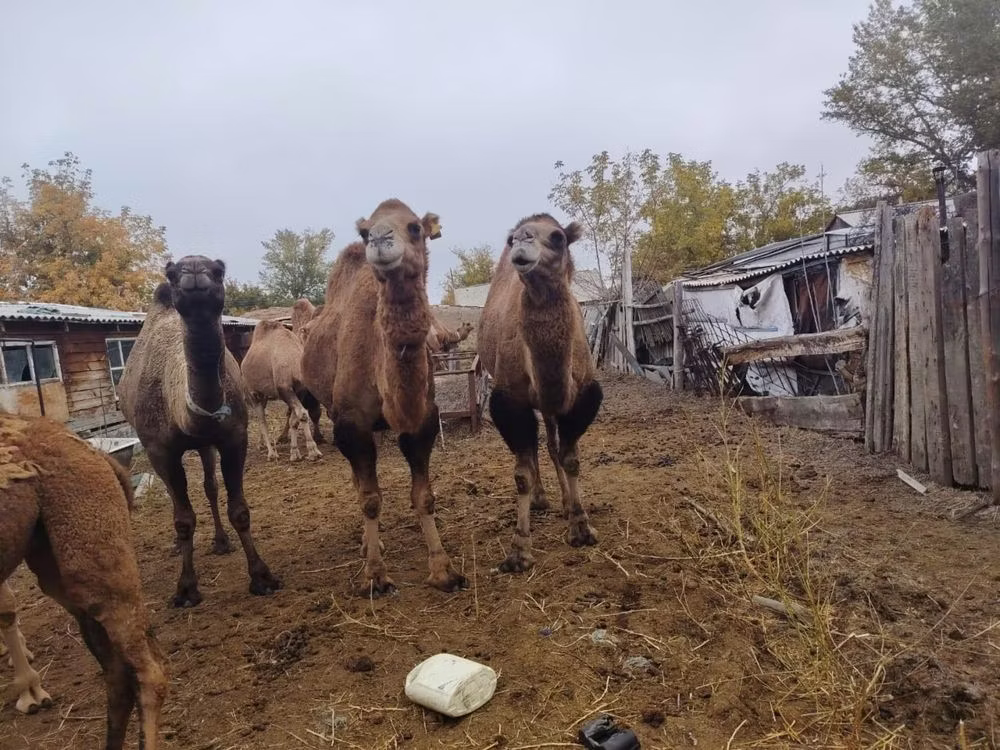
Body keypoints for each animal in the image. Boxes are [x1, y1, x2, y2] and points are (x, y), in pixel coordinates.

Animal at [119, 256, 282, 607]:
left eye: (219, 270)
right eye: (171, 273)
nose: (194, 267)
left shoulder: (234, 438)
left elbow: (239, 510)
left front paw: (262, 577)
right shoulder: (159, 450)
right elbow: (183, 519)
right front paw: (186, 589)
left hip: (205, 445)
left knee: (209, 486)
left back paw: (220, 541)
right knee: (179, 501)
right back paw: (178, 545)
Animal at [241, 319, 323, 462]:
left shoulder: (299, 391)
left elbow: (294, 420)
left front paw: (295, 453)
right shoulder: (284, 388)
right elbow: (302, 414)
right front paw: (313, 451)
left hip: (264, 396)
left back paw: (261, 445)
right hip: (252, 394)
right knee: (262, 420)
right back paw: (271, 454)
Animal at [301, 199, 467, 595]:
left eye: (415, 227)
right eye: (365, 232)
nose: (379, 239)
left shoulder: (422, 421)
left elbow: (424, 496)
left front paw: (443, 570)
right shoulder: (351, 424)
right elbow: (371, 499)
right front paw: (374, 575)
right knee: (359, 485)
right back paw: (366, 545)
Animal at [477, 213, 603, 573]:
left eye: (558, 237)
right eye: (512, 240)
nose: (522, 242)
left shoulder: (583, 397)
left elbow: (570, 458)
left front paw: (580, 525)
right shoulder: (508, 403)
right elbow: (521, 473)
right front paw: (519, 550)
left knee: (549, 445)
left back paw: (561, 500)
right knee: (533, 451)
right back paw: (540, 498)